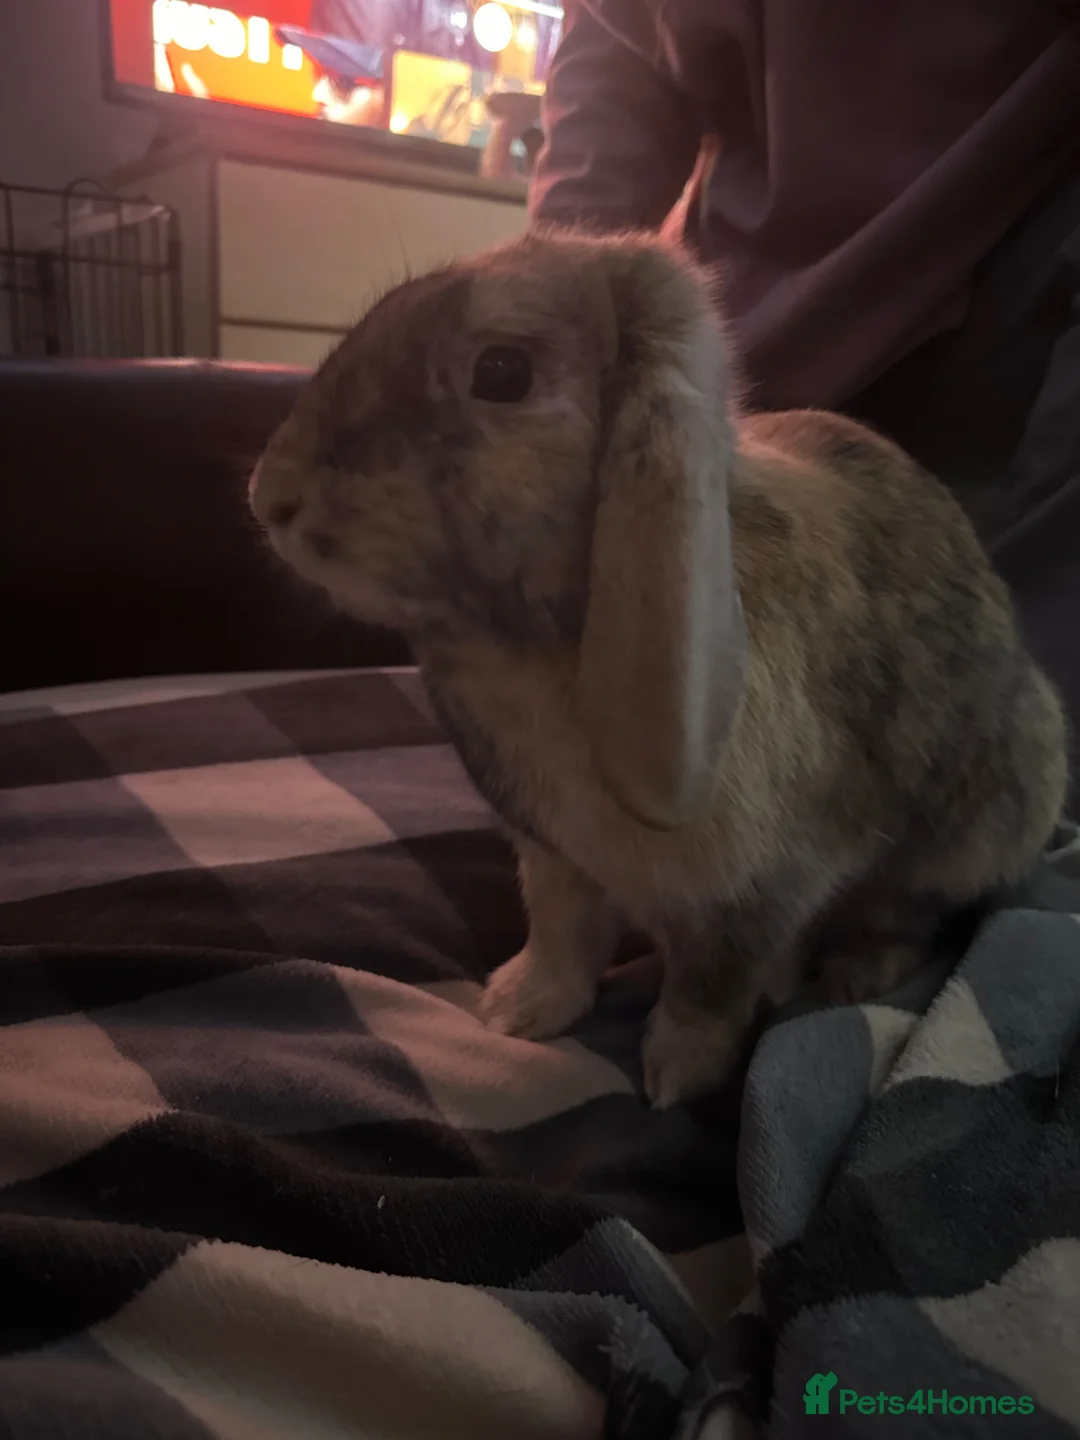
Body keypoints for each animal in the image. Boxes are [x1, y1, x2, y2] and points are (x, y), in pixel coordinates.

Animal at [248, 228, 1068, 1108]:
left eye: (502, 372)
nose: (271, 497)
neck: (538, 649)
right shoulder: (556, 860)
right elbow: (563, 937)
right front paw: (517, 1011)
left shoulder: (761, 890)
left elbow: (710, 986)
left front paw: (678, 1076)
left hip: (971, 829)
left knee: (910, 914)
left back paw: (852, 973)